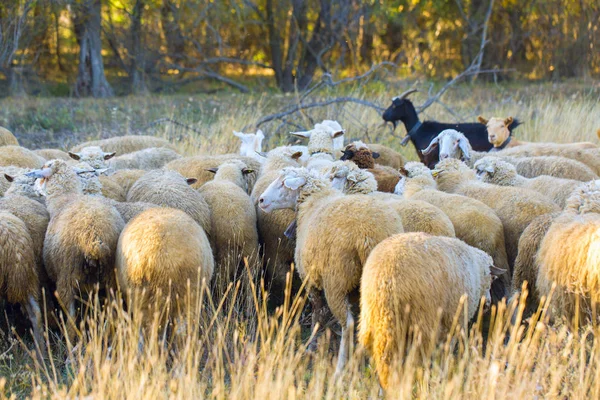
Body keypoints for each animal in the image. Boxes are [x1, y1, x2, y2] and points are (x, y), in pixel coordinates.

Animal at [258, 166, 404, 376]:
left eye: (284, 183)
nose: (261, 200)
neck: (312, 201)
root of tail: (369, 236)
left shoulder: (310, 279)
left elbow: (318, 314)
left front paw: (310, 346)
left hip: (337, 280)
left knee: (348, 323)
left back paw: (340, 368)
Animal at [358, 233, 494, 390]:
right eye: (491, 279)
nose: (488, 304)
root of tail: (386, 280)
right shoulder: (453, 319)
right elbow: (447, 349)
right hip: (421, 321)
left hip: (374, 320)